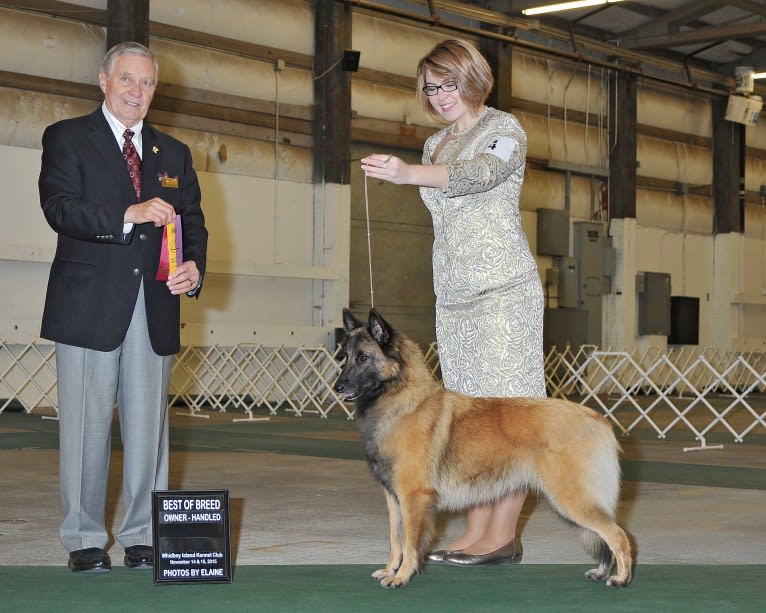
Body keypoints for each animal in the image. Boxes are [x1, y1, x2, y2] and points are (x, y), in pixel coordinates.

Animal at [332, 310, 632, 588]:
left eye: (363, 357)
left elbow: (408, 542)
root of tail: (597, 418)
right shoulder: (394, 499)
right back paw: (602, 572)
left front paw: (401, 577)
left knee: (618, 536)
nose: (338, 387)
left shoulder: (413, 497)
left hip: (570, 497)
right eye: (344, 356)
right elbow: (395, 540)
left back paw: (621, 579)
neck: (402, 399)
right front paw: (390, 570)